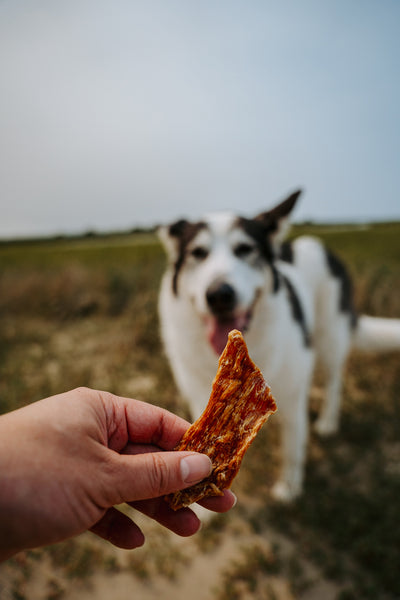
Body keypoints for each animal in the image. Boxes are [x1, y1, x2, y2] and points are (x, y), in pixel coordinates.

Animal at [158, 192, 398, 502]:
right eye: (198, 252)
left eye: (245, 249)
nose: (220, 295)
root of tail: (318, 244)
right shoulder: (198, 397)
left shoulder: (294, 398)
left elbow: (292, 449)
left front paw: (289, 489)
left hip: (329, 337)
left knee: (334, 380)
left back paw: (328, 421)